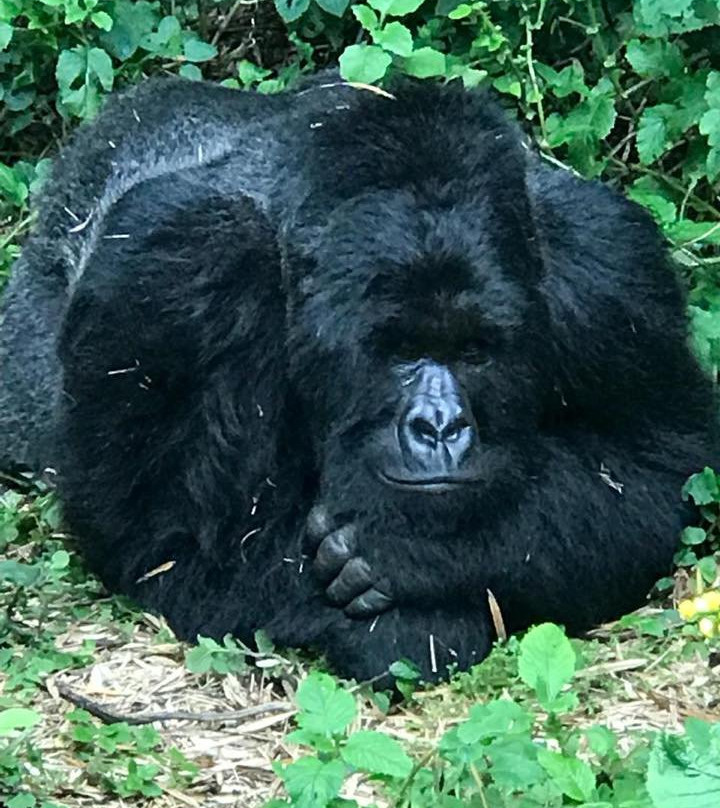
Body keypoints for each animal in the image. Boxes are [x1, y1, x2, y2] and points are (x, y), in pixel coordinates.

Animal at [0, 76, 716, 684]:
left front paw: (423, 553)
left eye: (476, 351)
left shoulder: (607, 269)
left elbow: (658, 479)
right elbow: (168, 539)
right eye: (398, 352)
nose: (439, 427)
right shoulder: (168, 264)